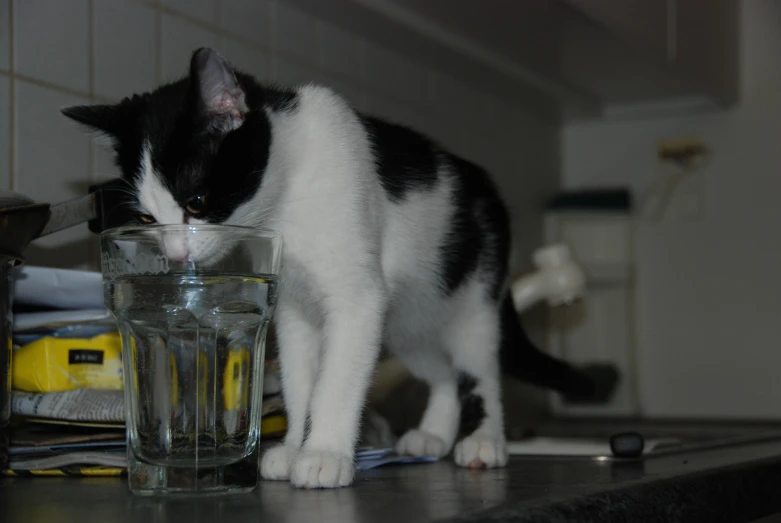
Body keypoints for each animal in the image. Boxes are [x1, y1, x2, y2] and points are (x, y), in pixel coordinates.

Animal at [62, 47, 592, 490]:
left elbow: (334, 381)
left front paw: (324, 455)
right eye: (148, 220)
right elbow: (302, 380)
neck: (285, 198)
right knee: (440, 371)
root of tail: (487, 187)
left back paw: (484, 440)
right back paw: (433, 435)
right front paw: (296, 444)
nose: (174, 255)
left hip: (473, 297)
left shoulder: (358, 300)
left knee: (477, 369)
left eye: (196, 202)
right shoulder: (294, 311)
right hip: (409, 319)